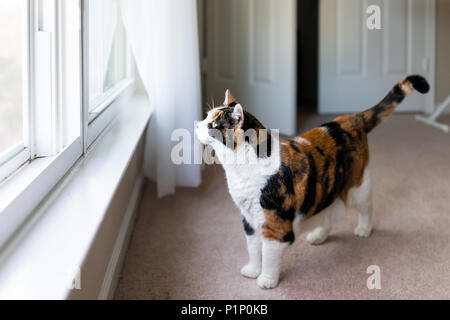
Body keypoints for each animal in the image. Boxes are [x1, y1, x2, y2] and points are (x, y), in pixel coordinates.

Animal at [193, 75, 428, 290]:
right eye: (206, 117)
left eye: (211, 124)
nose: (196, 125)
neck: (239, 169)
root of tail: (349, 119)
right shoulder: (248, 217)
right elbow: (253, 247)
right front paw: (252, 270)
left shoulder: (275, 224)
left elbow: (268, 254)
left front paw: (267, 279)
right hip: (324, 188)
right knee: (327, 210)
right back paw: (318, 235)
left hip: (359, 186)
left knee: (366, 207)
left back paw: (363, 229)